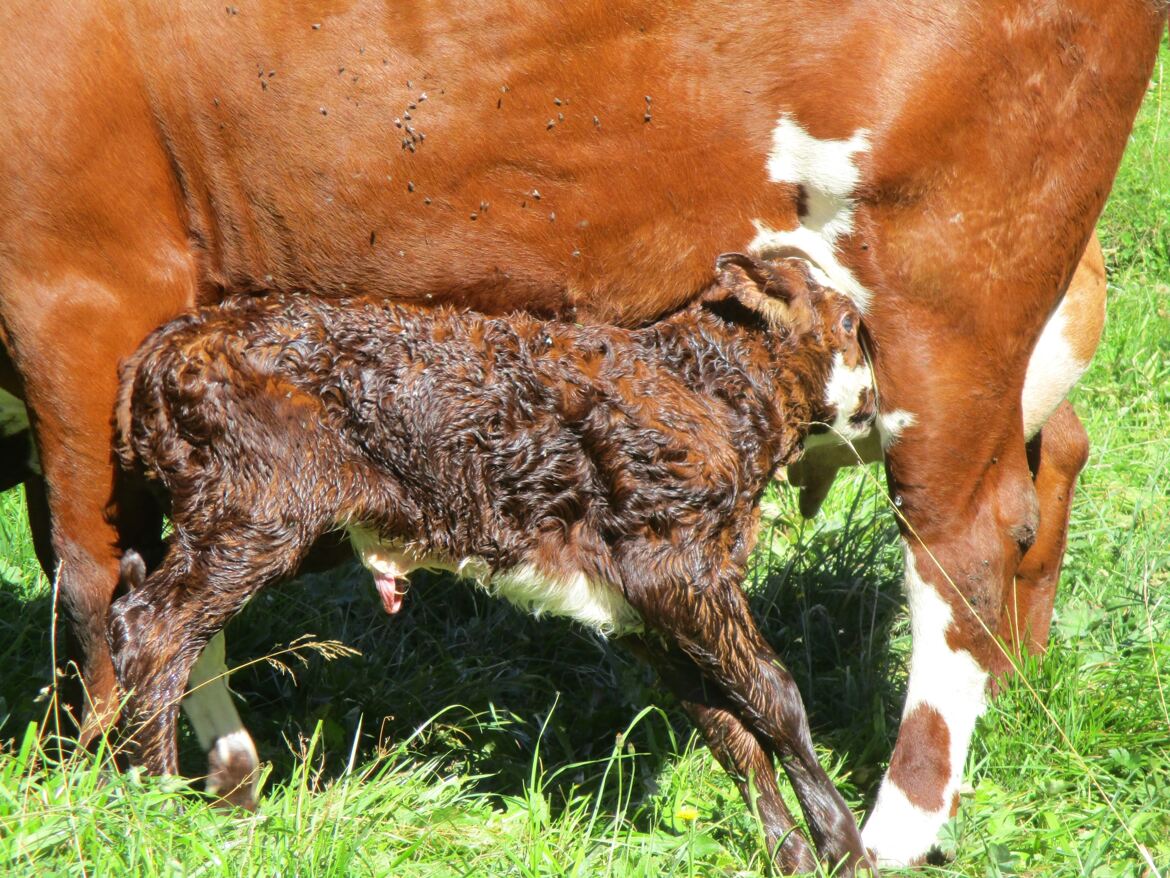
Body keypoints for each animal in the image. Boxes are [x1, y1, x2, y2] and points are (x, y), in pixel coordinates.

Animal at [107, 250, 879, 875]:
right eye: (849, 323)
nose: (877, 401)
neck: (713, 394)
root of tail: (169, 343)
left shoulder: (647, 605)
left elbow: (729, 726)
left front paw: (794, 856)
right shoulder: (674, 561)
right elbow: (776, 699)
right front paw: (847, 849)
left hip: (258, 521)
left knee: (162, 619)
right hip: (260, 509)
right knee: (155, 629)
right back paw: (161, 805)